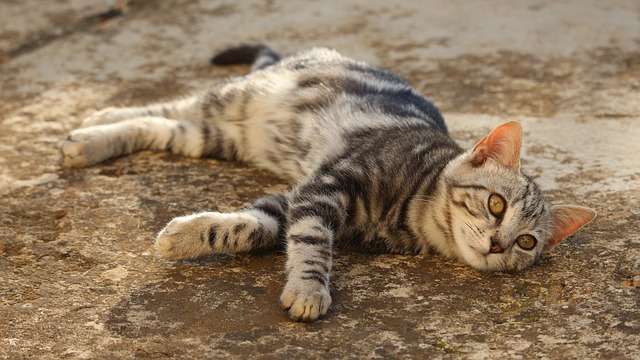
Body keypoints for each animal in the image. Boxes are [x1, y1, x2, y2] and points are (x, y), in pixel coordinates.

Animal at [60, 43, 596, 322]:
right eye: (497, 205)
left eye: (527, 242)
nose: (498, 244)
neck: (411, 214)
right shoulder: (325, 184)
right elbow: (313, 242)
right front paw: (309, 288)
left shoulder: (296, 196)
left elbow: (254, 225)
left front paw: (188, 235)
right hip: (234, 97)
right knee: (167, 105)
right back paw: (95, 123)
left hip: (218, 135)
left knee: (165, 125)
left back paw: (93, 137)